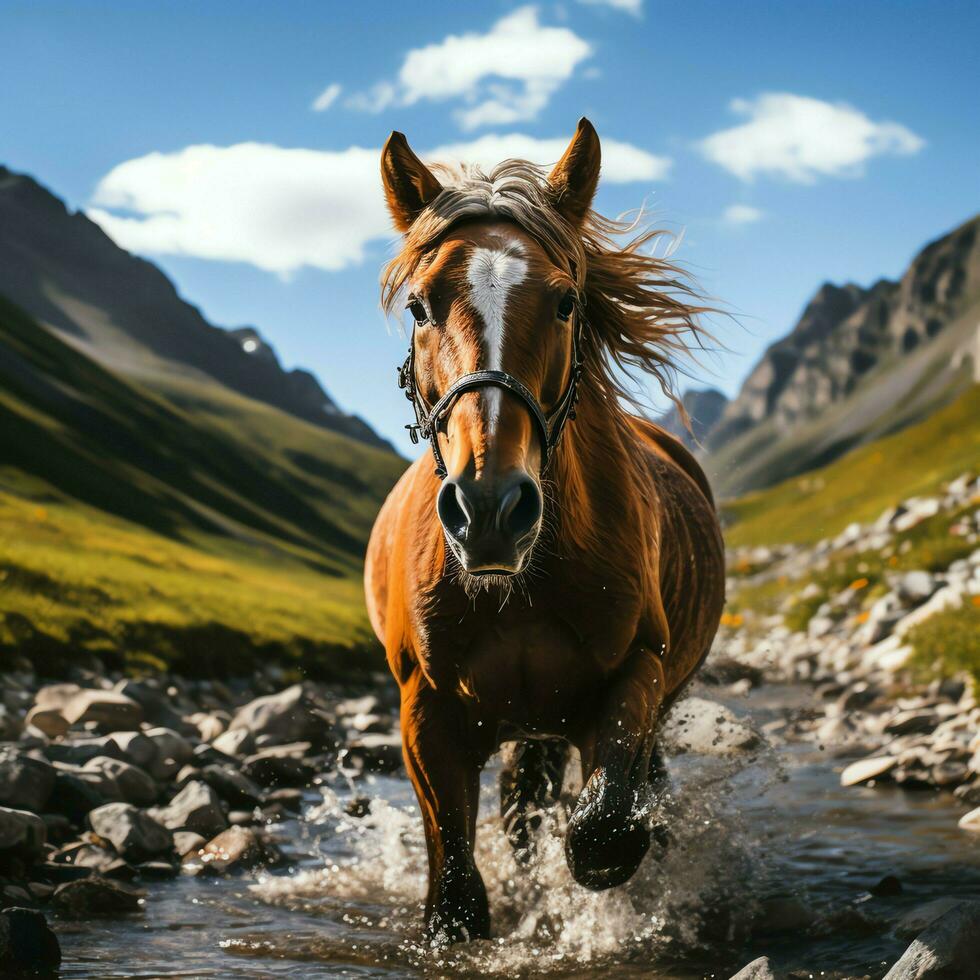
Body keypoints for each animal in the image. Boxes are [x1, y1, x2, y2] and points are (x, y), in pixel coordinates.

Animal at [364, 118, 724, 944]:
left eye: (565, 302)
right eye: (420, 308)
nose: (490, 510)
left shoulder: (637, 674)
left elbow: (604, 831)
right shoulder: (424, 713)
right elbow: (458, 895)